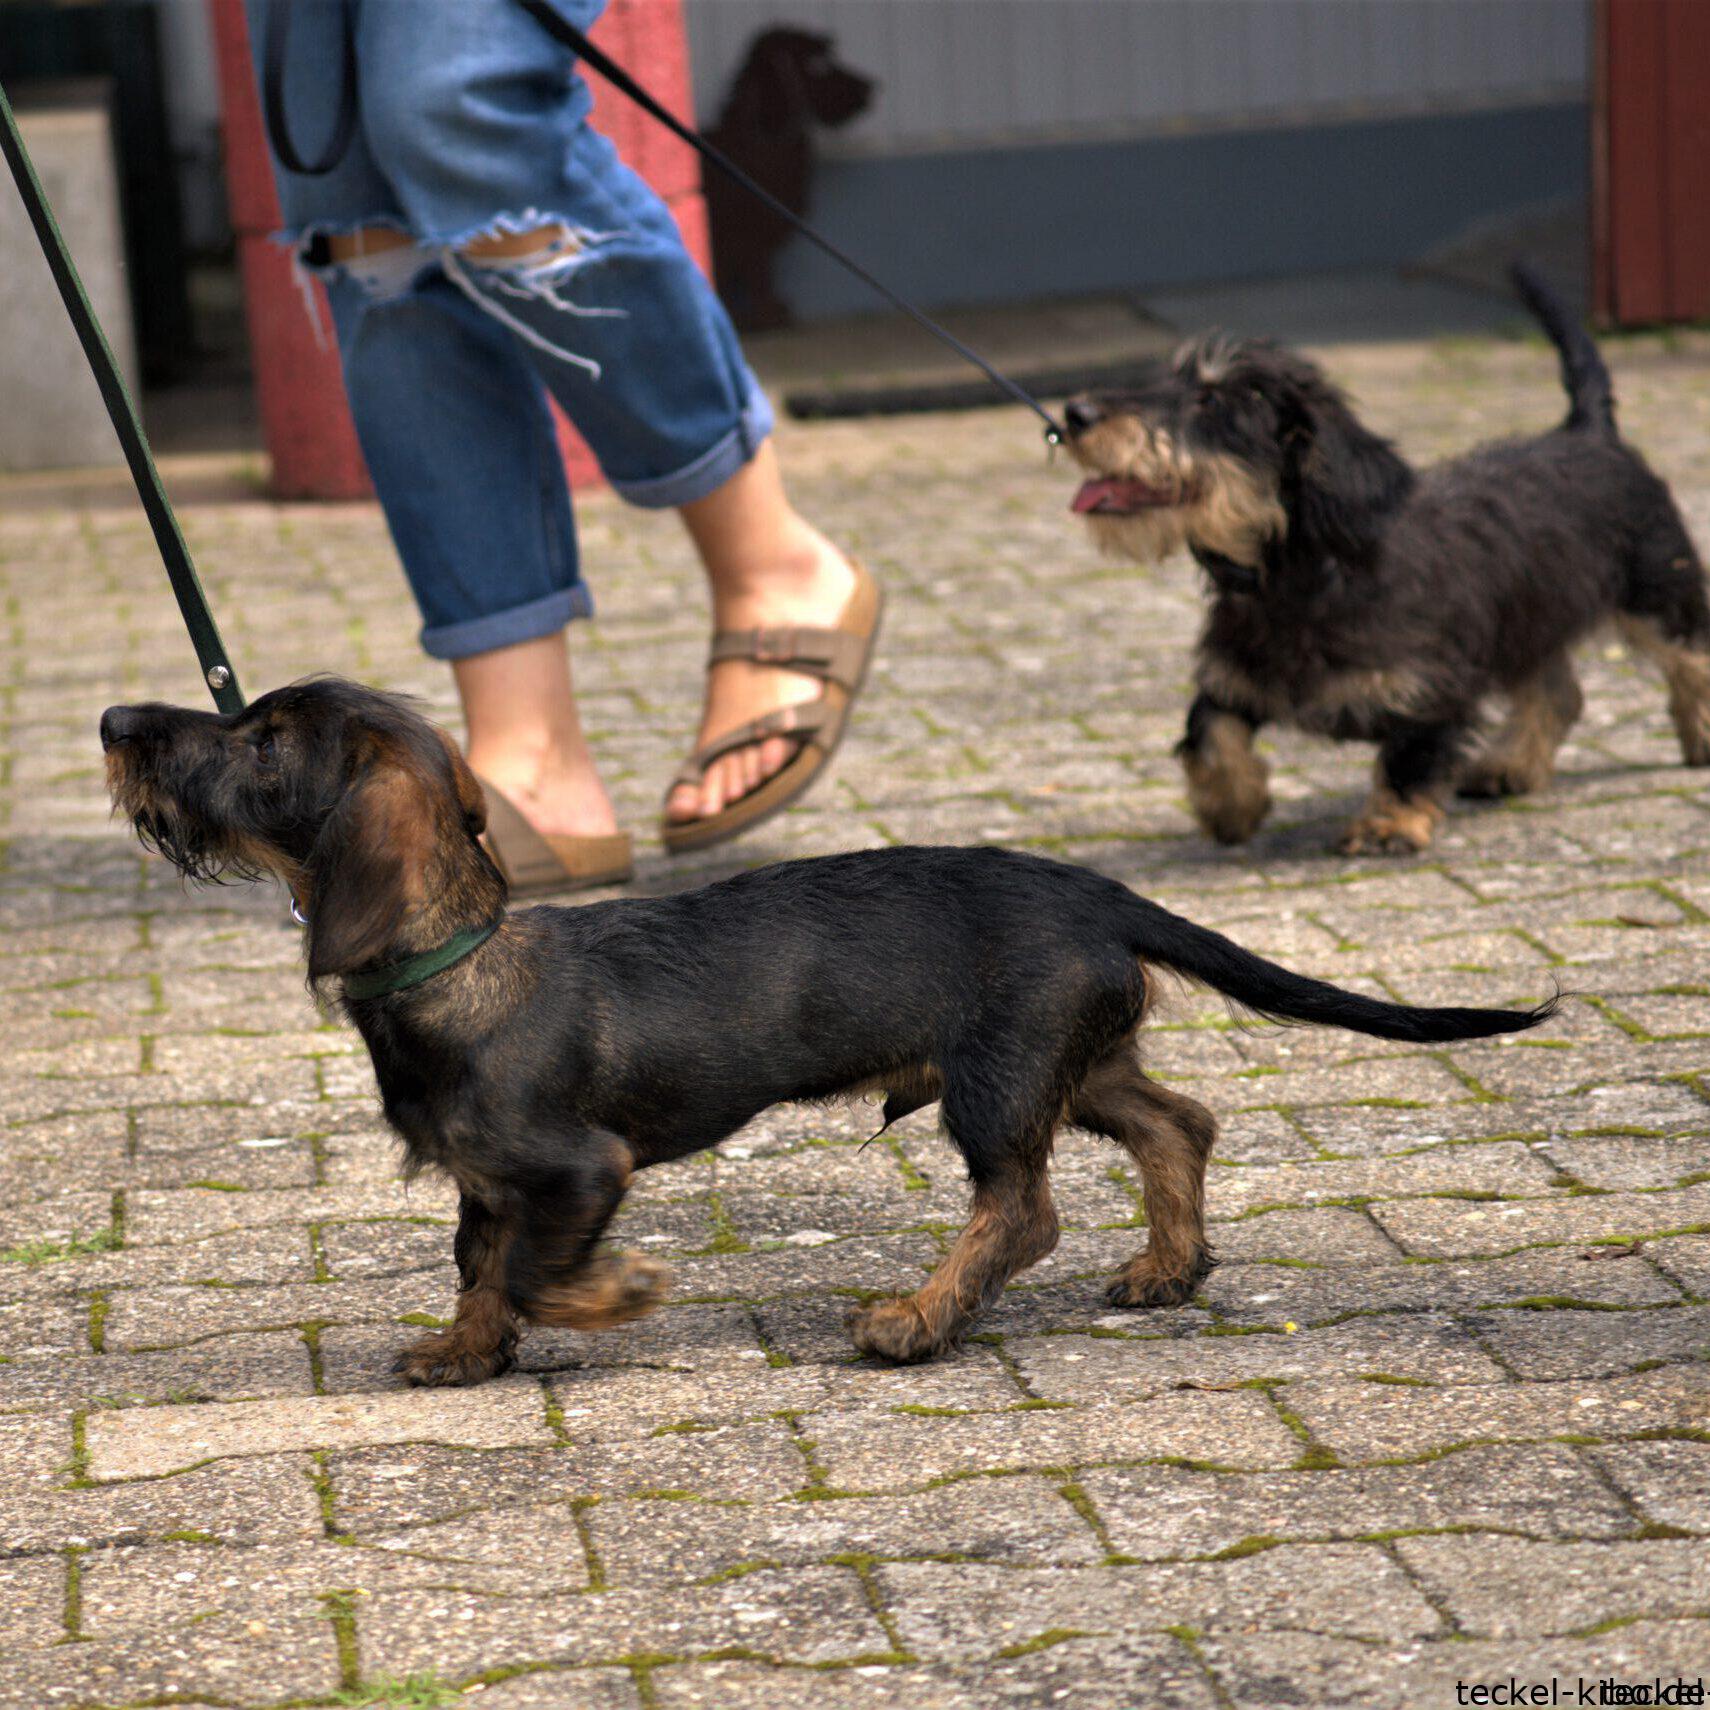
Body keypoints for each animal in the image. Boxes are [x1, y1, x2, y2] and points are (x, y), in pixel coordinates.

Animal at [102, 678, 1552, 1384]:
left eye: (263, 741)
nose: (118, 724)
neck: (460, 960)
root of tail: (1093, 888)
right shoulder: (482, 1177)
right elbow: (478, 1266)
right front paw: (462, 1353)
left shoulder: (574, 1169)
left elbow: (533, 1267)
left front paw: (613, 1298)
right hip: (1069, 1058)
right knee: (1176, 1121)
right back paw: (1164, 1268)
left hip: (999, 1077)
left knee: (1023, 1210)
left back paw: (916, 1319)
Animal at [1063, 265, 1710, 854]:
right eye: (1162, 380)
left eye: (1210, 398)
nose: (1072, 414)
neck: (1304, 573)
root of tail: (1589, 431)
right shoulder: (1236, 677)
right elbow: (1208, 732)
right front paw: (1231, 806)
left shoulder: (1434, 687)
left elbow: (1409, 755)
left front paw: (1388, 825)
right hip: (1531, 620)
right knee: (1558, 693)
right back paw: (1509, 767)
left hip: (1657, 590)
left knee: (1690, 659)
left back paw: (1699, 737)